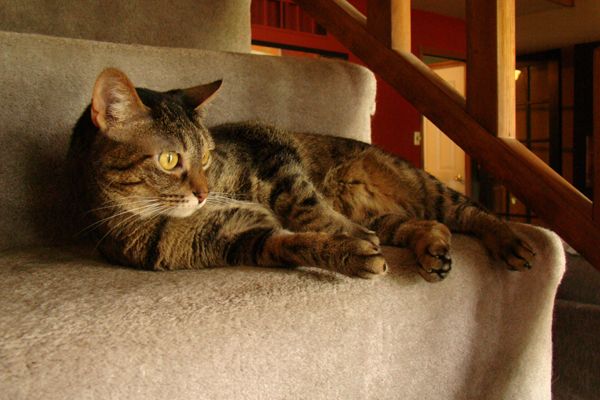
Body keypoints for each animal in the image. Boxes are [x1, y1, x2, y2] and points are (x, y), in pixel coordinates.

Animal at [69, 69, 536, 282]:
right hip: (387, 212)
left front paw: (348, 237)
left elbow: (306, 207)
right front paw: (349, 253)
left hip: (423, 185)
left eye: (208, 156)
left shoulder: (274, 154)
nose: (203, 193)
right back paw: (433, 251)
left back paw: (511, 242)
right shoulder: (241, 240)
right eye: (169, 160)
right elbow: (293, 243)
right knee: (428, 225)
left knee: (473, 214)